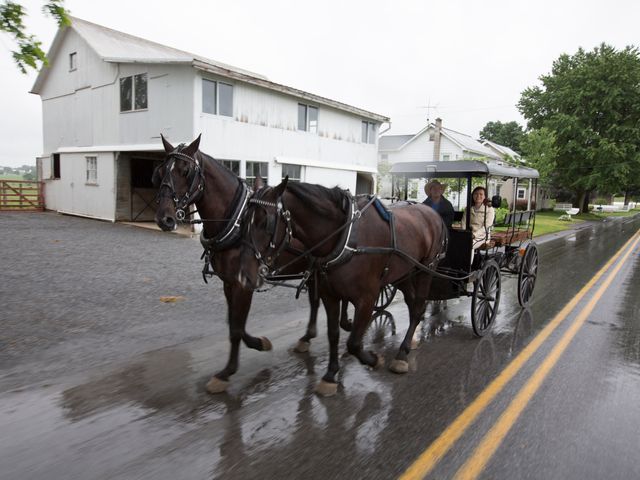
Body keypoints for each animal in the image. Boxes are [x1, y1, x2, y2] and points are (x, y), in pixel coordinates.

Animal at [153, 135, 350, 394]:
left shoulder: (243, 284)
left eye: (186, 171)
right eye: (161, 171)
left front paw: (227, 372)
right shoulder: (230, 282)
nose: (164, 218)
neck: (236, 222)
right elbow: (234, 323)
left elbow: (237, 327)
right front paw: (258, 343)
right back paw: (308, 336)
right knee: (316, 300)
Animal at [239, 178, 444, 396]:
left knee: (418, 307)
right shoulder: (330, 295)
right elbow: (333, 334)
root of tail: (433, 214)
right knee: (413, 304)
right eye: (243, 220)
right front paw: (330, 375)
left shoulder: (367, 298)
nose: (243, 276)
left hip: (426, 269)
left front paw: (373, 359)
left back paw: (402, 354)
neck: (347, 238)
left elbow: (353, 343)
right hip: (403, 273)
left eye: (265, 222)